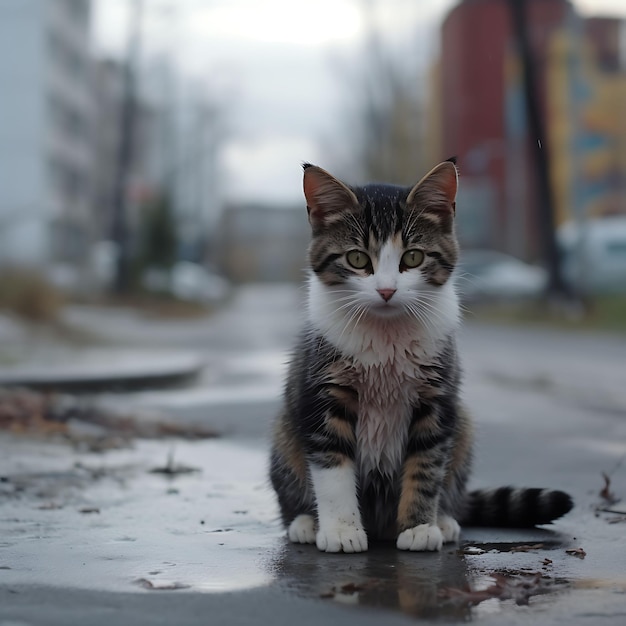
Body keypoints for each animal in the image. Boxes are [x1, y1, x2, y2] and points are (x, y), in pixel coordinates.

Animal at [268, 158, 572, 548]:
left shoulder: (437, 400)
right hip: (284, 430)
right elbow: (332, 467)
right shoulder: (322, 393)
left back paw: (444, 520)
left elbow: (426, 466)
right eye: (357, 258)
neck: (385, 337)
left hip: (464, 423)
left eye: (412, 257)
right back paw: (305, 523)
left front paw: (419, 527)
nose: (386, 290)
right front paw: (340, 530)